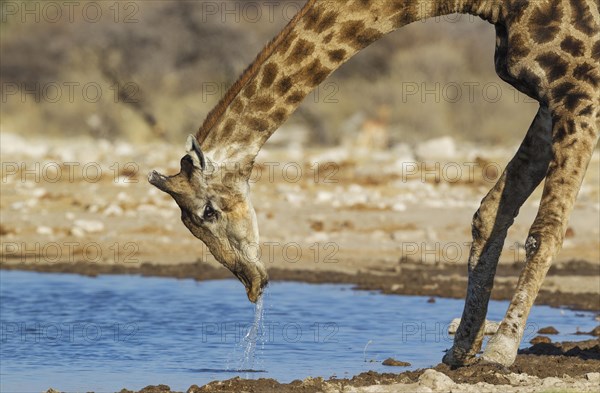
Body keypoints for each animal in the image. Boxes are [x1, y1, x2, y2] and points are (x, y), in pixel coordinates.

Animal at [149, 0, 600, 368]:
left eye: (208, 211)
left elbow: (545, 230)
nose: (252, 283)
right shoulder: (550, 98)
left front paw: (501, 351)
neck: (494, 4)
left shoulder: (579, 91)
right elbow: (488, 216)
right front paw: (461, 350)